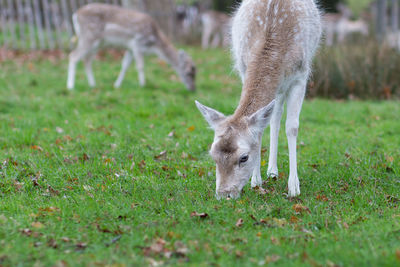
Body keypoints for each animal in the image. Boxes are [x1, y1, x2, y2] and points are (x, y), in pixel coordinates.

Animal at [67, 3, 197, 91]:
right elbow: (140, 66)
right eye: (188, 72)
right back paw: (70, 86)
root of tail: (75, 14)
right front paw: (143, 85)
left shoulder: (130, 48)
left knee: (86, 60)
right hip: (88, 36)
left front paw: (116, 85)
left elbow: (124, 66)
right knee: (73, 55)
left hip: (98, 43)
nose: (193, 89)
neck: (154, 44)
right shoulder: (137, 43)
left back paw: (92, 84)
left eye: (196, 73)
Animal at [196, 0, 322, 199]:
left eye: (244, 157)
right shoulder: (243, 68)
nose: (224, 195)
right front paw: (256, 181)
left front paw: (294, 187)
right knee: (274, 117)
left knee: (277, 116)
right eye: (212, 155)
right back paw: (272, 171)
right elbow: (261, 128)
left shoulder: (301, 75)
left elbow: (292, 127)